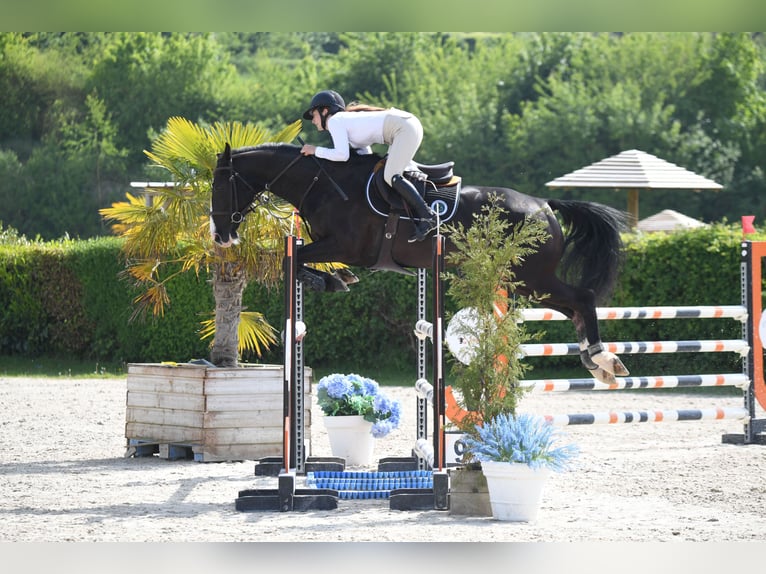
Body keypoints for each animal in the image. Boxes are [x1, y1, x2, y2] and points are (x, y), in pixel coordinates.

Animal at [208, 142, 632, 384]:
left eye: (220, 186)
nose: (220, 236)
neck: (324, 183)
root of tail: (544, 205)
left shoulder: (345, 246)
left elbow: (293, 261)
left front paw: (330, 281)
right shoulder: (331, 247)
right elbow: (298, 261)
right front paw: (334, 280)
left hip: (531, 277)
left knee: (583, 297)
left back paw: (602, 358)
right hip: (526, 282)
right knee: (574, 306)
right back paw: (596, 361)